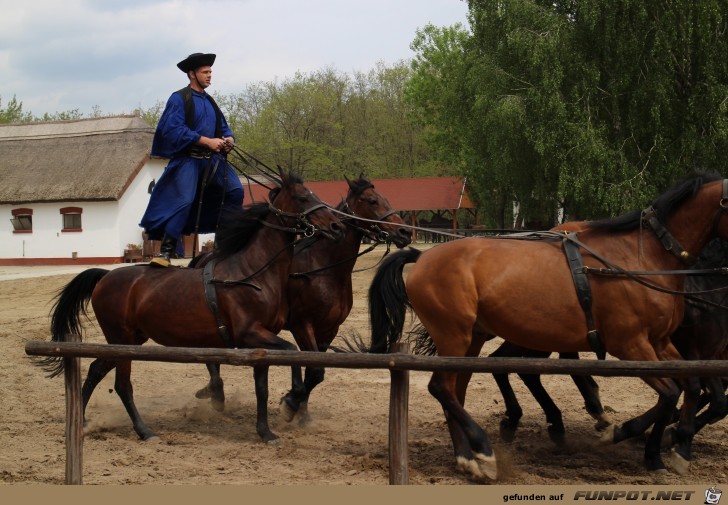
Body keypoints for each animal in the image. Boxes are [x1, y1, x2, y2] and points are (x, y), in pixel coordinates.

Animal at [38, 171, 346, 442]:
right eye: (302, 197)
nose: (337, 227)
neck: (253, 272)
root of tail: (105, 276)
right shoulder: (250, 334)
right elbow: (292, 352)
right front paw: (292, 399)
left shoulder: (261, 343)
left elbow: (263, 388)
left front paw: (266, 432)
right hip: (122, 340)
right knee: (122, 385)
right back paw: (144, 431)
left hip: (128, 341)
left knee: (94, 370)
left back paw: (82, 421)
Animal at [193, 173, 412, 418]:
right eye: (372, 201)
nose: (405, 232)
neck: (323, 268)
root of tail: (205, 256)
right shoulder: (302, 325)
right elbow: (315, 370)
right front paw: (290, 403)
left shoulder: (328, 330)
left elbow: (314, 371)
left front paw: (300, 410)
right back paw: (215, 391)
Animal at [372, 172, 728, 476]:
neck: (640, 258)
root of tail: (424, 257)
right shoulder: (631, 345)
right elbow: (669, 393)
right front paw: (635, 440)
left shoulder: (662, 343)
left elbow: (689, 385)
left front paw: (671, 447)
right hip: (455, 336)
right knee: (441, 387)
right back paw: (483, 450)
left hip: (471, 339)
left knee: (456, 391)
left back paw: (467, 458)